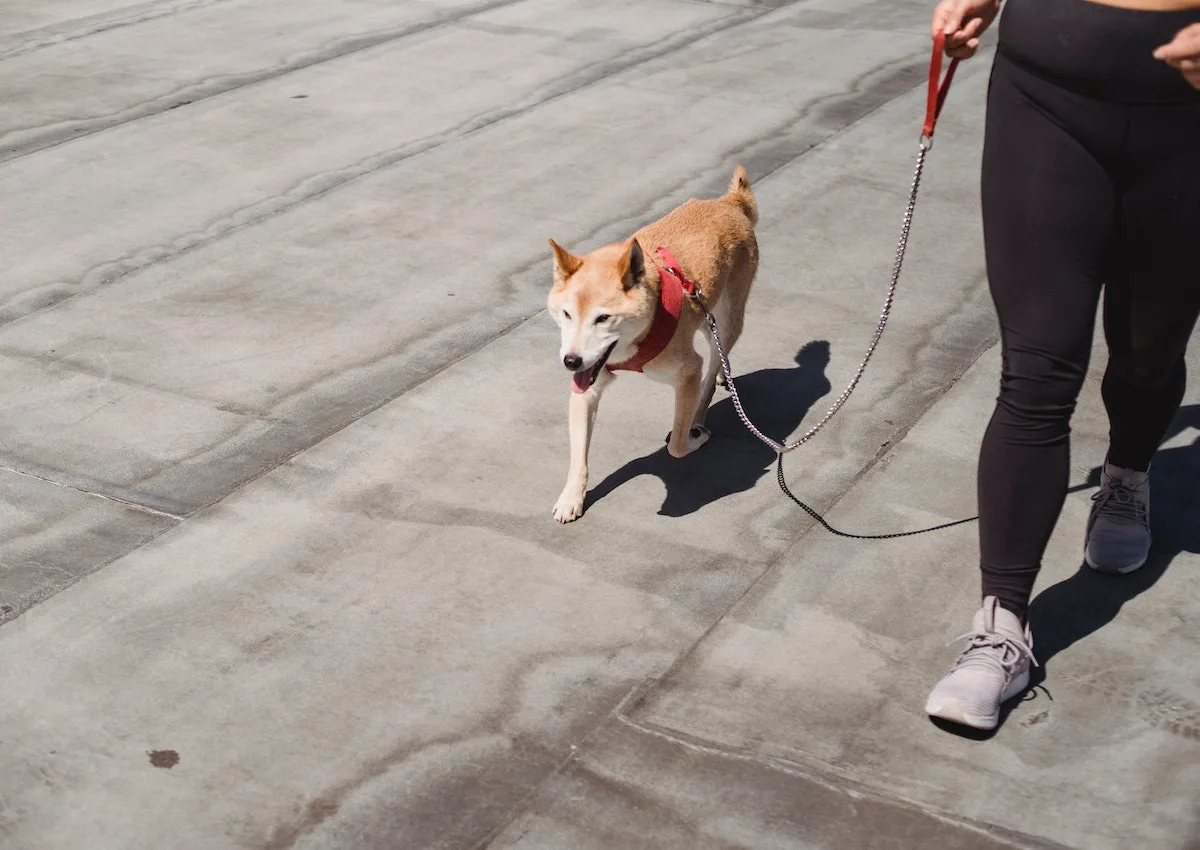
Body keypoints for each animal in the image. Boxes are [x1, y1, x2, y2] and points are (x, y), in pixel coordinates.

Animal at [547, 164, 753, 523]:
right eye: (567, 314)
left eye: (603, 318)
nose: (571, 361)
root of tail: (729, 203)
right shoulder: (588, 384)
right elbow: (578, 457)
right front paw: (572, 497)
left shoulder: (687, 369)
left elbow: (676, 447)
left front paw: (692, 436)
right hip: (706, 314)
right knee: (716, 350)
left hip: (728, 320)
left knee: (712, 366)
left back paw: (700, 416)